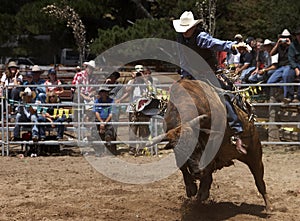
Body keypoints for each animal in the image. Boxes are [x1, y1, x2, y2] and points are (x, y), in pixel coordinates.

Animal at [148, 79, 272, 211]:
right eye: (181, 153)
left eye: (197, 146)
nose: (197, 172)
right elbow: (182, 167)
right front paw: (191, 188)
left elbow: (208, 163)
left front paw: (202, 191)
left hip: (255, 155)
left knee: (259, 181)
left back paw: (268, 206)